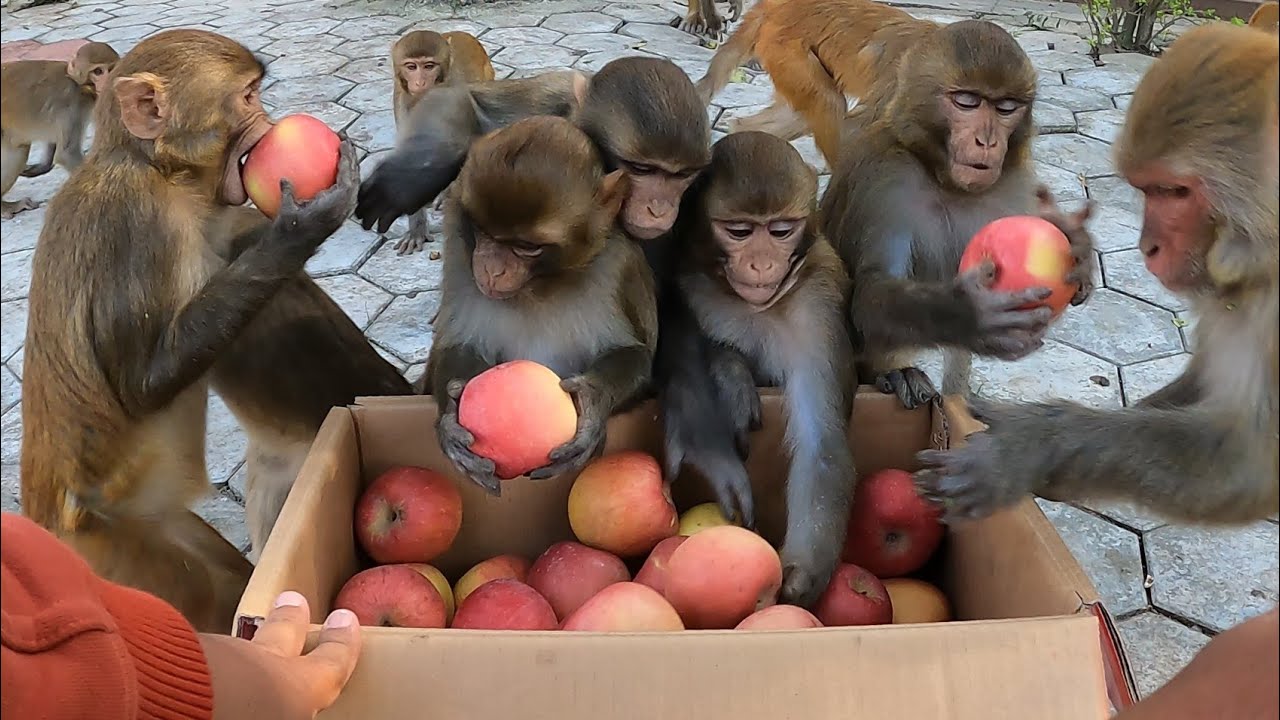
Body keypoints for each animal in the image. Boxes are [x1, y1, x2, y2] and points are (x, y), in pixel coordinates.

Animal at [1, 41, 118, 218]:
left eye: (111, 69)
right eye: (98, 71)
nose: (108, 81)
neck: (80, 87)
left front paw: (41, 167)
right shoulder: (71, 106)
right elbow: (67, 154)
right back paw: (5, 207)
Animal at [19, 29, 361, 634]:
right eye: (247, 97)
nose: (270, 122)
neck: (161, 172)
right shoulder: (138, 227)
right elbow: (142, 385)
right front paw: (303, 226)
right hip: (122, 564)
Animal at [424, 115, 658, 495]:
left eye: (527, 247)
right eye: (484, 232)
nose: (492, 270)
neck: (538, 286)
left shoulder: (617, 265)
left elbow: (635, 353)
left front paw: (592, 400)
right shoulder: (459, 253)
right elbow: (458, 344)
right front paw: (451, 419)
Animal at [666, 130, 857, 607]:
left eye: (781, 230)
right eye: (739, 231)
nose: (762, 264)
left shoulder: (818, 305)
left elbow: (821, 441)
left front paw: (800, 578)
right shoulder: (688, 279)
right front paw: (731, 376)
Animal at [819, 20, 1096, 411]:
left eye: (1006, 107)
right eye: (967, 102)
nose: (987, 141)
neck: (944, 179)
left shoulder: (1015, 181)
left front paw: (1078, 246)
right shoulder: (886, 179)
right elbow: (872, 293)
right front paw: (969, 316)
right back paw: (895, 373)